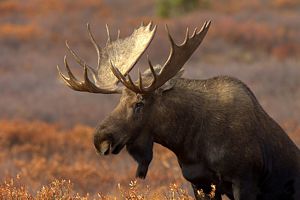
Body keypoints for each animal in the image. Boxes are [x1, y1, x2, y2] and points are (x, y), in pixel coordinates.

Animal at [56, 21, 300, 199]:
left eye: (139, 104)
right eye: (119, 101)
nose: (100, 139)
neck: (187, 142)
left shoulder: (244, 180)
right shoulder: (199, 183)